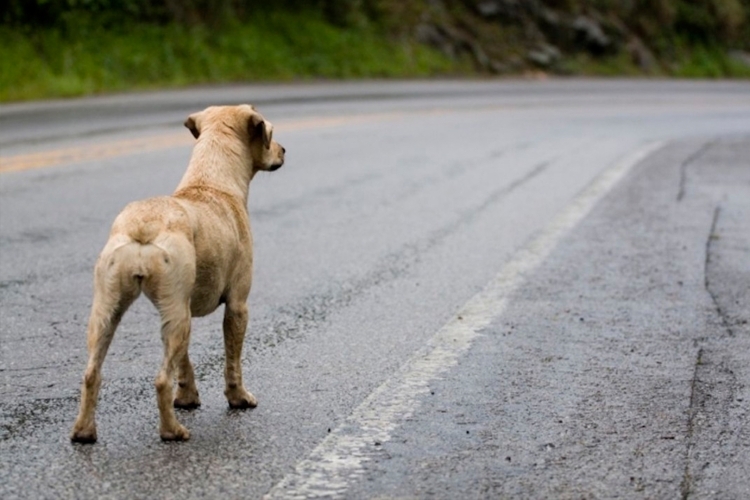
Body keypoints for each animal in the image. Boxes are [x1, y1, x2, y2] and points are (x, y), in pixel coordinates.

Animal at [70, 104, 284, 442]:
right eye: (270, 135)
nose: (284, 150)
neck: (212, 182)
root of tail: (143, 225)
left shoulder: (179, 309)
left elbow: (184, 363)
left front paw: (187, 398)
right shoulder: (238, 305)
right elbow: (233, 361)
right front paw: (239, 399)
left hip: (113, 311)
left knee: (92, 373)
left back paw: (83, 431)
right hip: (173, 315)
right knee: (160, 380)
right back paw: (172, 431)